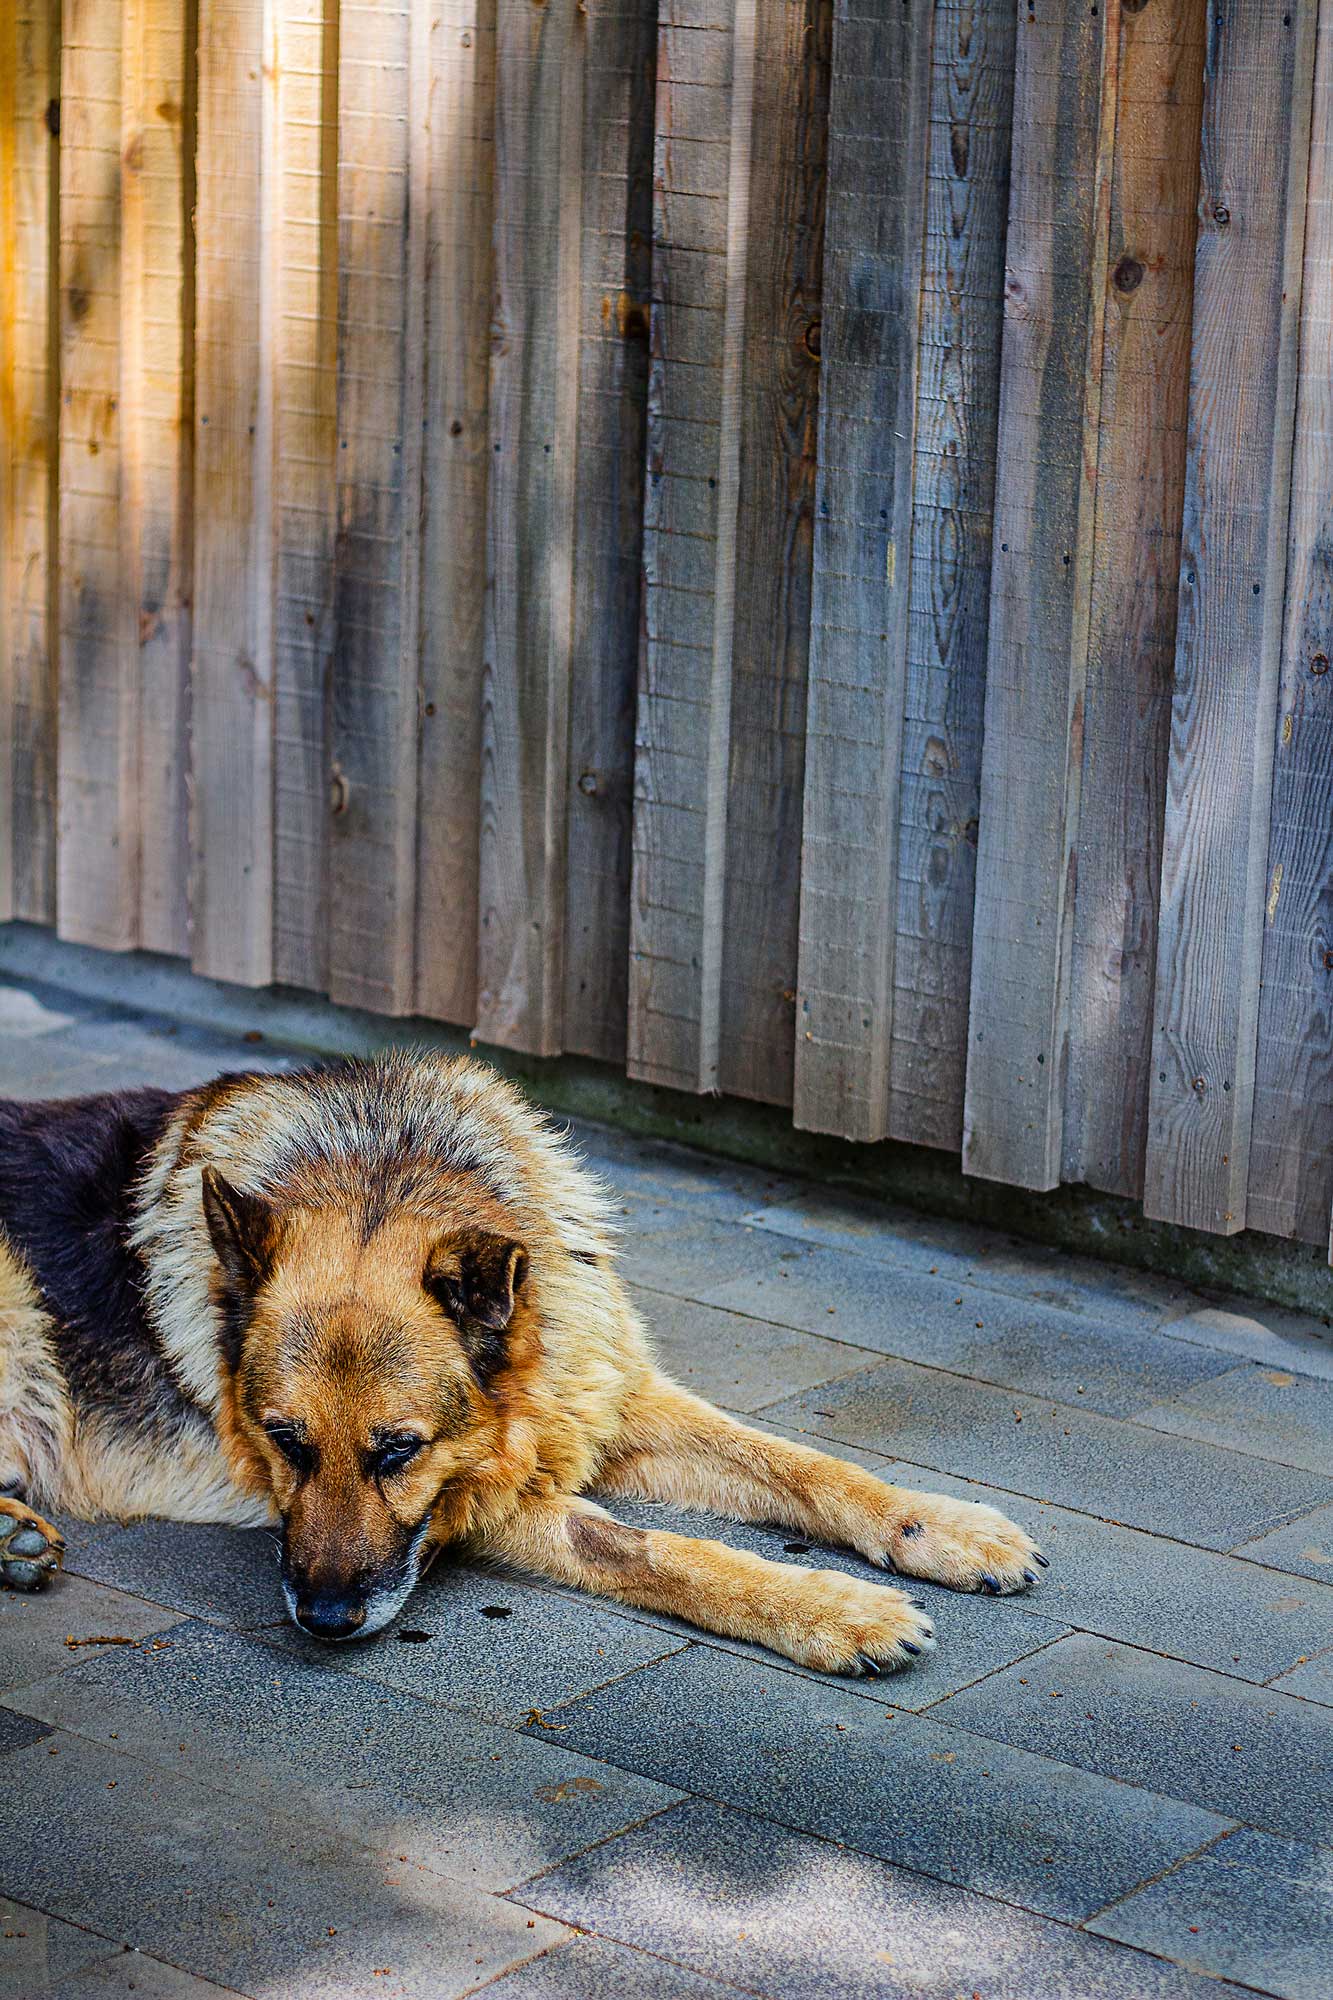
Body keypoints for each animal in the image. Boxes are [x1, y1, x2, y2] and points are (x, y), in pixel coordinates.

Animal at [0, 1053, 1045, 1671]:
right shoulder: (488, 1499)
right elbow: (647, 1548)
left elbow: (803, 1466)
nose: (326, 1623)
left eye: (397, 1452)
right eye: (282, 1443)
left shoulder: (607, 1399)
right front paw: (832, 1609)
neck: (382, 1164)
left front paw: (936, 1527)